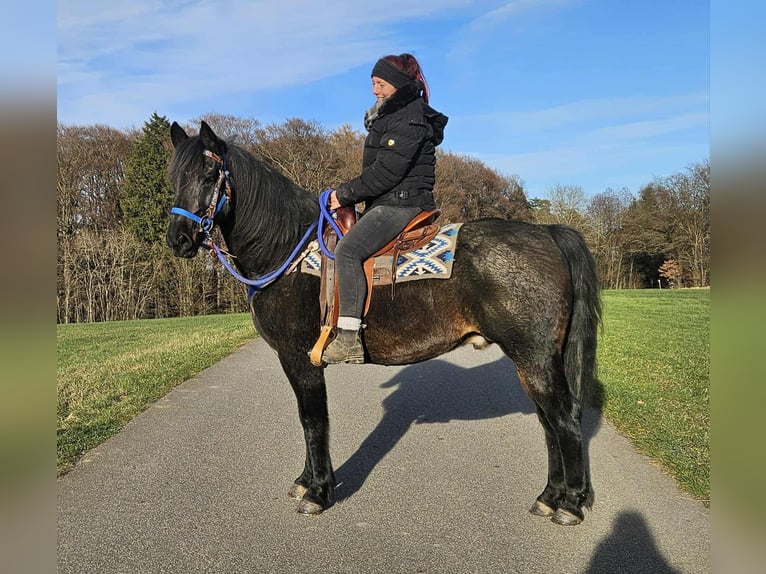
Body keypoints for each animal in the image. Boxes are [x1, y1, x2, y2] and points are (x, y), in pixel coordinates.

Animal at [166, 121, 601, 526]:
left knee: (564, 420)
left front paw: (318, 492)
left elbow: (313, 420)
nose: (178, 239)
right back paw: (550, 497)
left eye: (210, 175)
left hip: (534, 358)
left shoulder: (299, 358)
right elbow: (309, 420)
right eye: (173, 177)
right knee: (549, 423)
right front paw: (307, 482)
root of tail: (547, 233)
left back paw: (570, 505)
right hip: (534, 361)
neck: (287, 250)